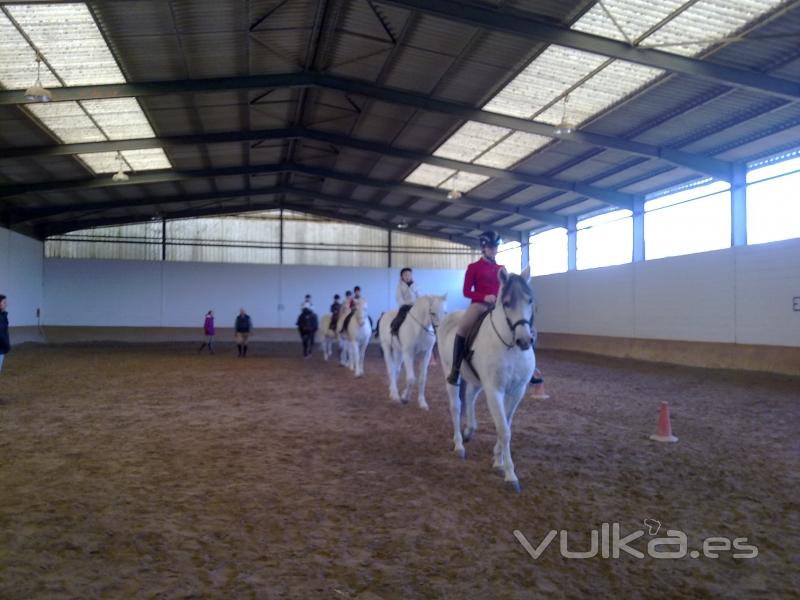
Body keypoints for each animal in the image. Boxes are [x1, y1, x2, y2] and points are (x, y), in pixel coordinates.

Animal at [440, 268, 536, 492]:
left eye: (530, 300)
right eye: (507, 303)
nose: (524, 341)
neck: (510, 347)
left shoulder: (517, 391)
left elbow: (506, 425)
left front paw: (498, 461)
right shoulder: (494, 390)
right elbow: (504, 429)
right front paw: (510, 475)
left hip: (476, 381)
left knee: (469, 398)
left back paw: (469, 430)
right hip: (450, 374)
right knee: (456, 407)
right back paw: (459, 445)